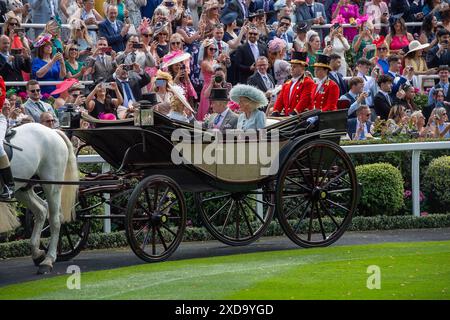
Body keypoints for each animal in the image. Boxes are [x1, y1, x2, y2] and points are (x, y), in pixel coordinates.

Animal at [2, 124, 78, 274]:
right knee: (41, 210)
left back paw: (48, 261)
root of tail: (52, 131)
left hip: (51, 185)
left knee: (55, 220)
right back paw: (37, 254)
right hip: (23, 188)